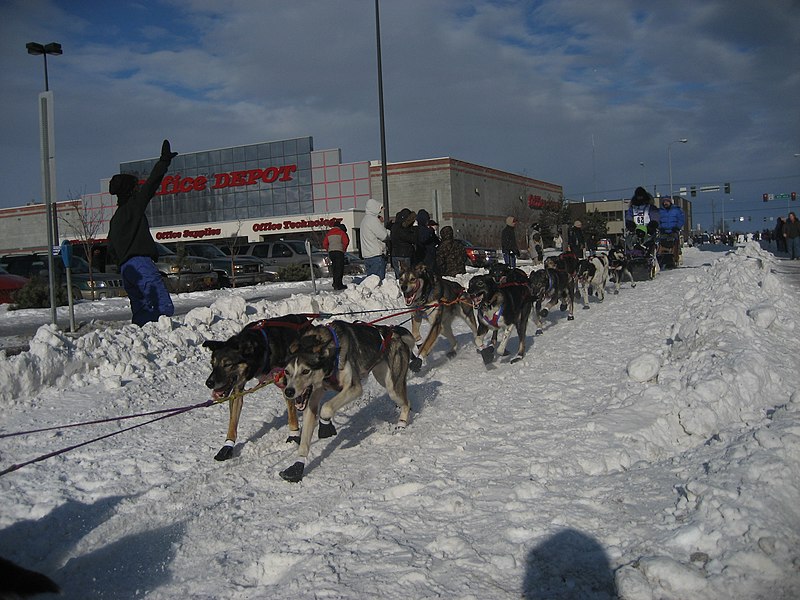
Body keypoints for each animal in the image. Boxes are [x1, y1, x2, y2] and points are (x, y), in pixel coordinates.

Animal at [202, 314, 314, 460]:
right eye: (212, 364)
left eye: (227, 364)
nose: (209, 383)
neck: (262, 350)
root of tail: (305, 319)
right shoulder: (238, 388)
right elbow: (233, 421)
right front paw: (227, 446)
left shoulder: (285, 382)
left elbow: (291, 413)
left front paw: (294, 435)